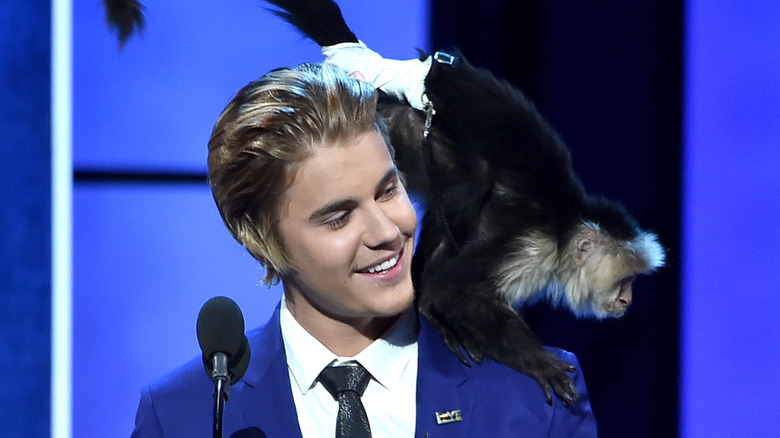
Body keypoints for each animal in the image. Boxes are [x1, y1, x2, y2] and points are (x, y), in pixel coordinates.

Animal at [103, 0, 664, 406]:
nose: (628, 301)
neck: (566, 226)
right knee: (468, 185)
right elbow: (460, 288)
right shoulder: (532, 245)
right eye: (627, 280)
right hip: (413, 123)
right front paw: (534, 358)